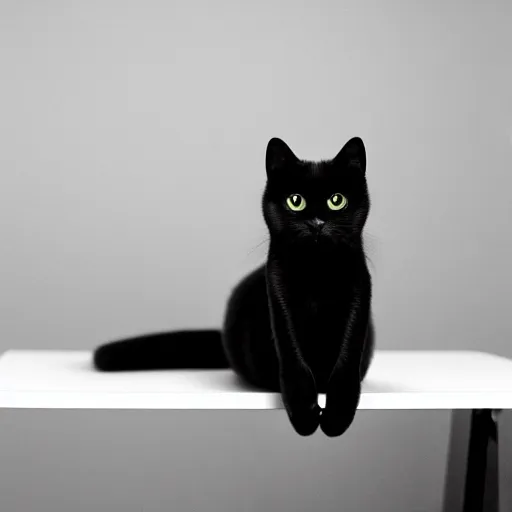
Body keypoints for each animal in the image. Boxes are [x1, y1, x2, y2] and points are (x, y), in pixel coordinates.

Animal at [94, 138, 374, 438]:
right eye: (296, 201)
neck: (317, 273)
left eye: (337, 200)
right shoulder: (278, 297)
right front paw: (304, 414)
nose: (318, 223)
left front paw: (336, 417)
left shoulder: (359, 297)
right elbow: (294, 360)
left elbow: (346, 361)